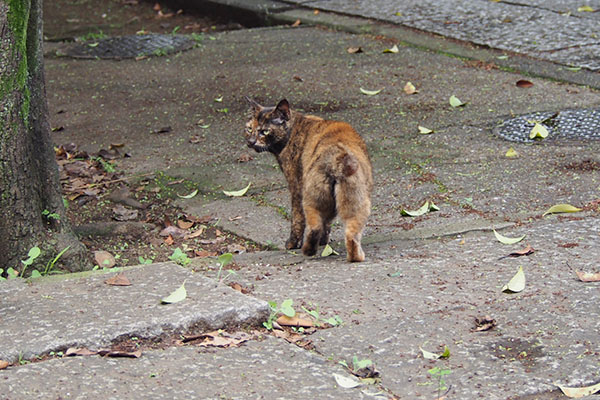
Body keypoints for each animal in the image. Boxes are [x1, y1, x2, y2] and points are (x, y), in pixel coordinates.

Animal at [244, 97, 370, 262]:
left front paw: (292, 243)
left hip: (310, 198)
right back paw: (356, 257)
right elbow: (327, 223)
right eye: (249, 129)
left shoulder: (295, 188)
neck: (294, 129)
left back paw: (307, 251)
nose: (250, 142)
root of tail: (336, 156)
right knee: (350, 233)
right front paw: (324, 242)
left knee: (313, 226)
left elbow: (297, 220)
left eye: (264, 131)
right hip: (356, 202)